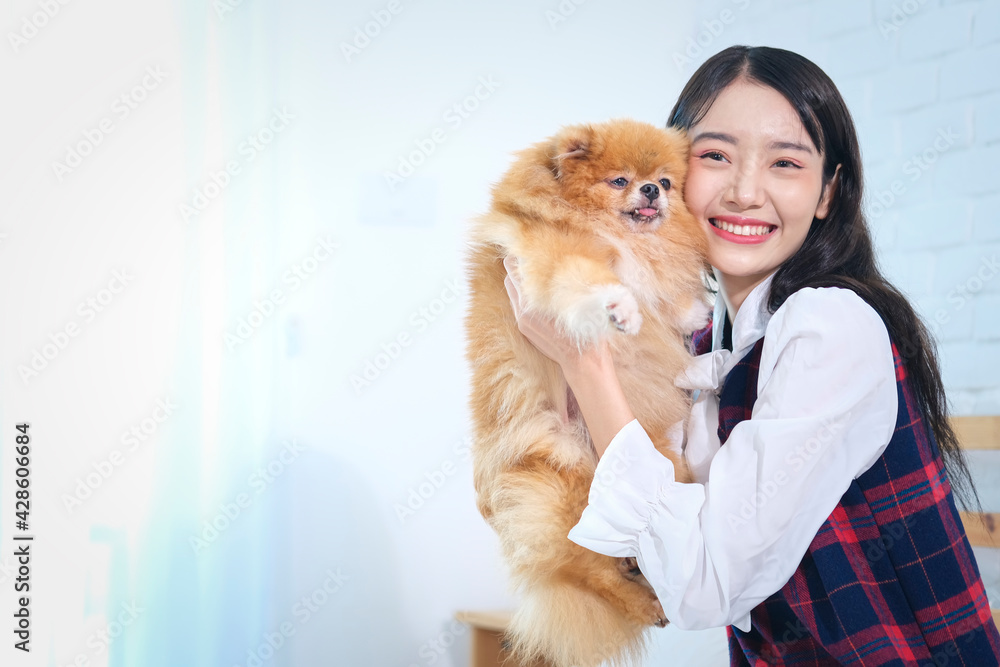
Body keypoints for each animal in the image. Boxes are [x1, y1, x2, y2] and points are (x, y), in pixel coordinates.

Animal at [462, 120, 712, 667]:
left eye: (666, 181)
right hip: (570, 488)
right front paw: (620, 307)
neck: (621, 235)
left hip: (661, 467)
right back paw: (643, 602)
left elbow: (668, 302)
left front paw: (693, 311)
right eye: (619, 181)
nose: (651, 191)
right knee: (589, 572)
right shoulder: (554, 255)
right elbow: (592, 283)